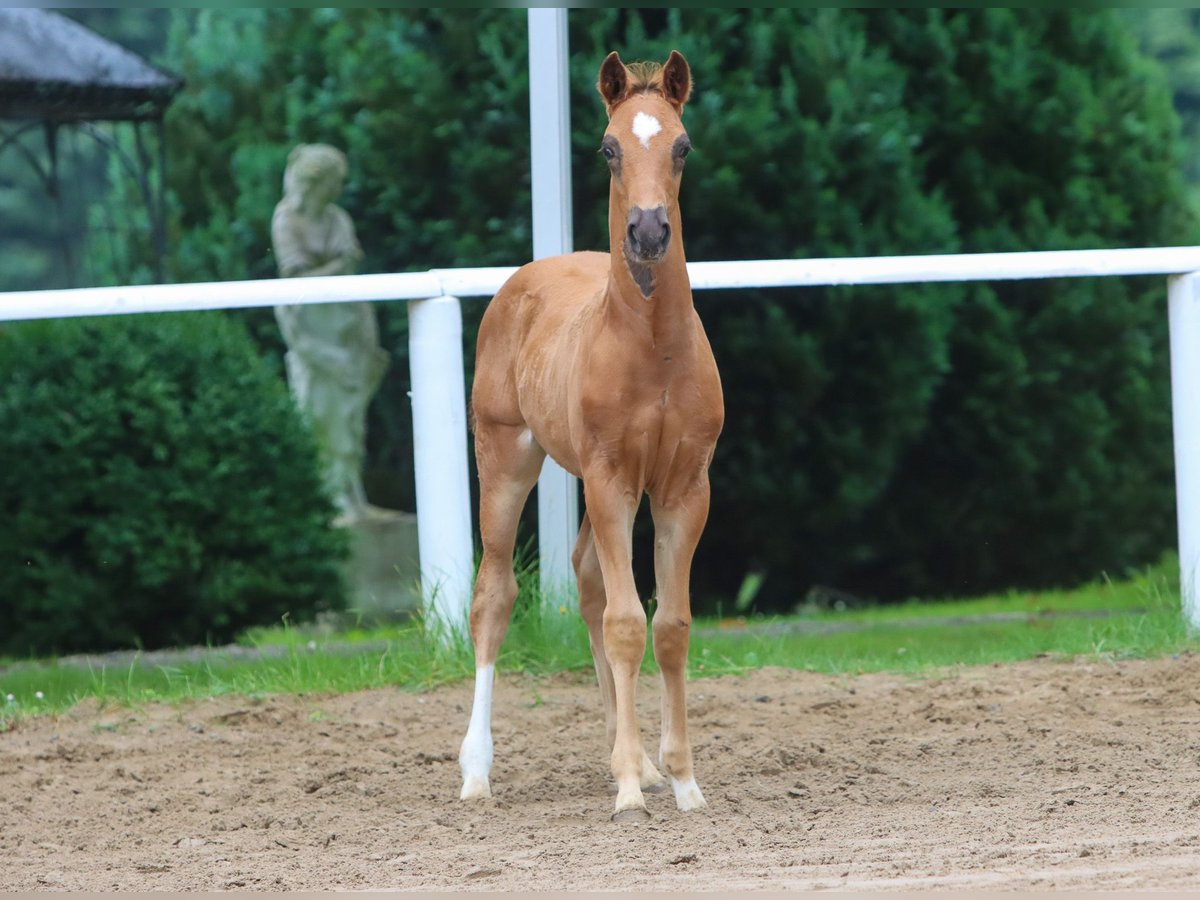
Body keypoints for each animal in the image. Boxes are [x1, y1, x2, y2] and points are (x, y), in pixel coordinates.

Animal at [458, 51, 720, 825]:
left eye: (681, 145)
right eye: (608, 148)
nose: (648, 233)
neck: (653, 350)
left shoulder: (683, 489)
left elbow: (669, 626)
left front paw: (679, 780)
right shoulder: (610, 478)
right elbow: (628, 623)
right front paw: (630, 788)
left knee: (585, 580)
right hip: (506, 460)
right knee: (494, 596)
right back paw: (476, 772)